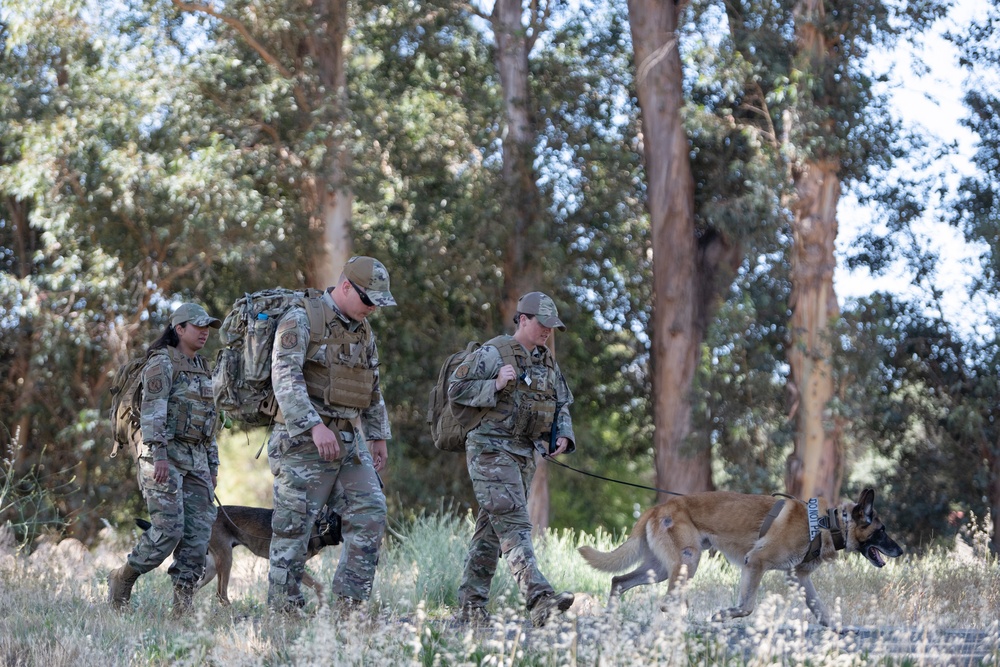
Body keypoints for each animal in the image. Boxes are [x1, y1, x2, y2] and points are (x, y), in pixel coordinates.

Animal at [136, 506, 344, 604]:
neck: (320, 524)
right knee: (221, 594)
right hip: (226, 559)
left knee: (194, 588)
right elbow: (319, 586)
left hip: (211, 568)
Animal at [576, 490, 904, 628]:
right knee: (668, 602)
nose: (901, 551)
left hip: (660, 570)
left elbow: (820, 609)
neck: (826, 522)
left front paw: (838, 631)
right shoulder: (754, 562)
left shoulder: (799, 578)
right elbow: (747, 607)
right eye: (882, 531)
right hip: (687, 563)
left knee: (618, 580)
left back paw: (609, 618)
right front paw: (722, 616)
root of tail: (659, 507)